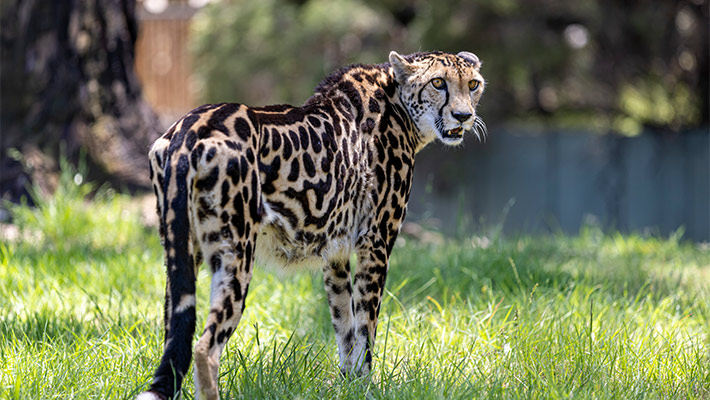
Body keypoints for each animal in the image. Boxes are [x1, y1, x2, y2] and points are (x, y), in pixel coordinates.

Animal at [136, 50, 486, 400]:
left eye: (473, 84)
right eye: (437, 83)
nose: (463, 116)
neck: (398, 102)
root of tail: (189, 128)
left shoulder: (336, 254)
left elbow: (345, 324)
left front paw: (348, 383)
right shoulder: (376, 243)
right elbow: (366, 327)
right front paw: (366, 385)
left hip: (181, 255)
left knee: (176, 338)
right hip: (236, 254)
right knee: (204, 349)